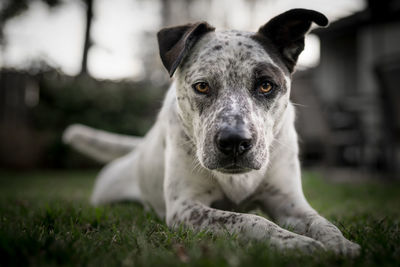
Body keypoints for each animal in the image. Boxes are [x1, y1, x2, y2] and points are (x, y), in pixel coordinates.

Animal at [64, 8, 360, 258]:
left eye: (266, 85)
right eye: (202, 86)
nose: (235, 142)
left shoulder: (289, 203)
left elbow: (323, 223)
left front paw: (341, 244)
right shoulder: (186, 208)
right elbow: (251, 220)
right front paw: (298, 244)